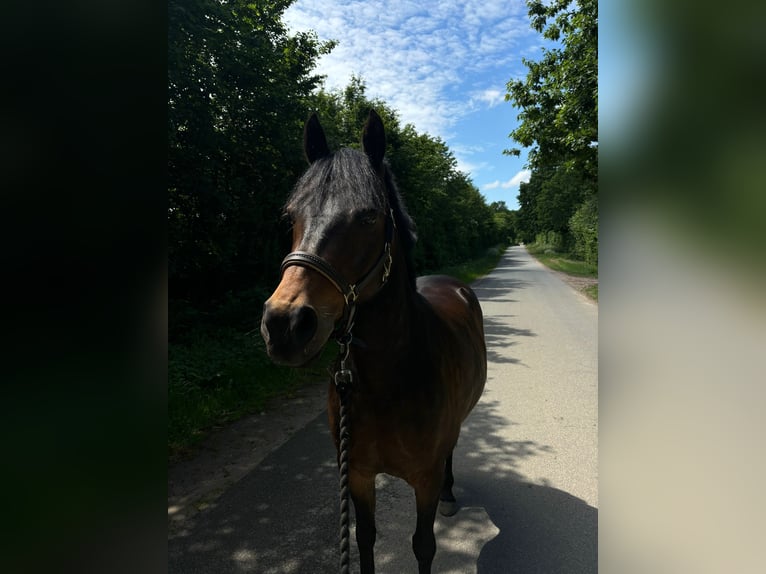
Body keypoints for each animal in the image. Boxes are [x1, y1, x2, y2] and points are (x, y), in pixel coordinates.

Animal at [262, 110, 486, 572]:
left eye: (367, 216)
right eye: (290, 216)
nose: (285, 324)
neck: (388, 377)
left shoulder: (424, 479)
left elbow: (423, 545)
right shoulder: (359, 474)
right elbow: (364, 537)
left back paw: (451, 495)